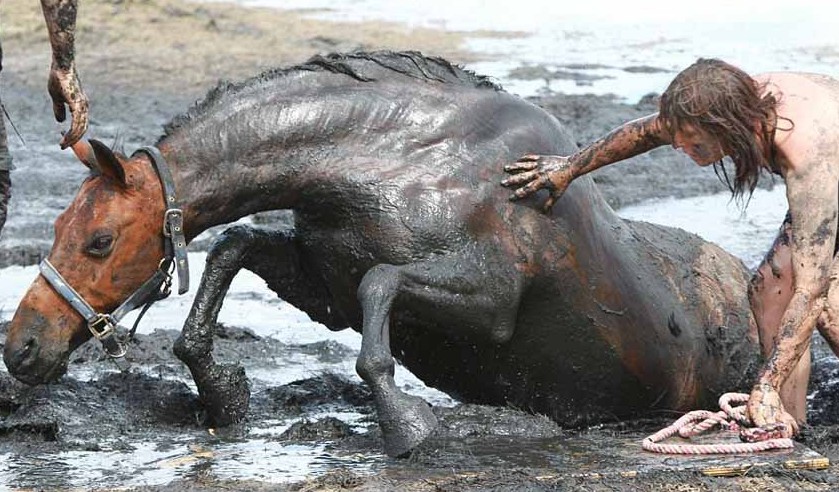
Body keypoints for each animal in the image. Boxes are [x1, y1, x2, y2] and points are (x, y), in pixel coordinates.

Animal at [3, 51, 760, 458]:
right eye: (57, 227)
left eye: (99, 240)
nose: (22, 348)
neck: (394, 160)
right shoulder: (324, 287)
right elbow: (234, 246)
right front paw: (223, 392)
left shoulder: (489, 304)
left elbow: (381, 285)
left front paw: (406, 425)